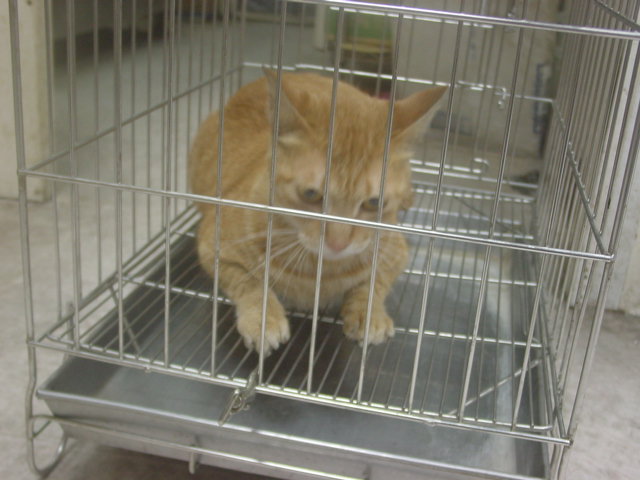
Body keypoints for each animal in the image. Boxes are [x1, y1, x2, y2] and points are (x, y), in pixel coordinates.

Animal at [189, 70, 445, 354]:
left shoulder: (396, 254)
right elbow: (250, 282)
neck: (321, 270)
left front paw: (369, 314)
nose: (338, 243)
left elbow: (373, 285)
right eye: (310, 194)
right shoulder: (214, 247)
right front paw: (263, 318)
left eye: (374, 202)